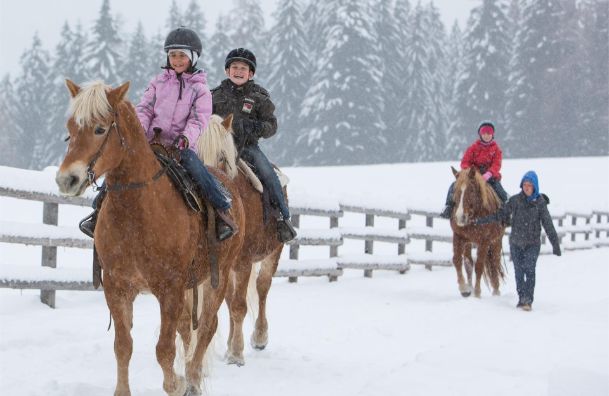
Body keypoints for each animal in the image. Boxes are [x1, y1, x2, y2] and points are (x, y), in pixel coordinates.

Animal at [55, 80, 245, 396]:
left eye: (100, 129)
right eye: (70, 126)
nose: (66, 179)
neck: (138, 211)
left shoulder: (169, 289)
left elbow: (164, 350)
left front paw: (175, 384)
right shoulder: (117, 287)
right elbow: (123, 346)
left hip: (218, 276)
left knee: (207, 326)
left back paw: (193, 380)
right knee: (189, 329)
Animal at [197, 113, 288, 366]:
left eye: (221, 156)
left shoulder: (244, 262)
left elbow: (239, 306)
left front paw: (237, 354)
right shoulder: (224, 266)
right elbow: (230, 305)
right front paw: (232, 349)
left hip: (273, 252)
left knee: (263, 287)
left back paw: (260, 336)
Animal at [446, 166, 504, 298]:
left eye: (471, 190)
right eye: (455, 190)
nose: (460, 217)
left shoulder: (484, 241)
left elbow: (479, 266)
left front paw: (477, 293)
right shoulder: (458, 236)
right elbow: (457, 260)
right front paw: (464, 289)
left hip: (496, 241)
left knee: (494, 263)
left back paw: (496, 291)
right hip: (468, 243)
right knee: (469, 263)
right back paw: (470, 287)